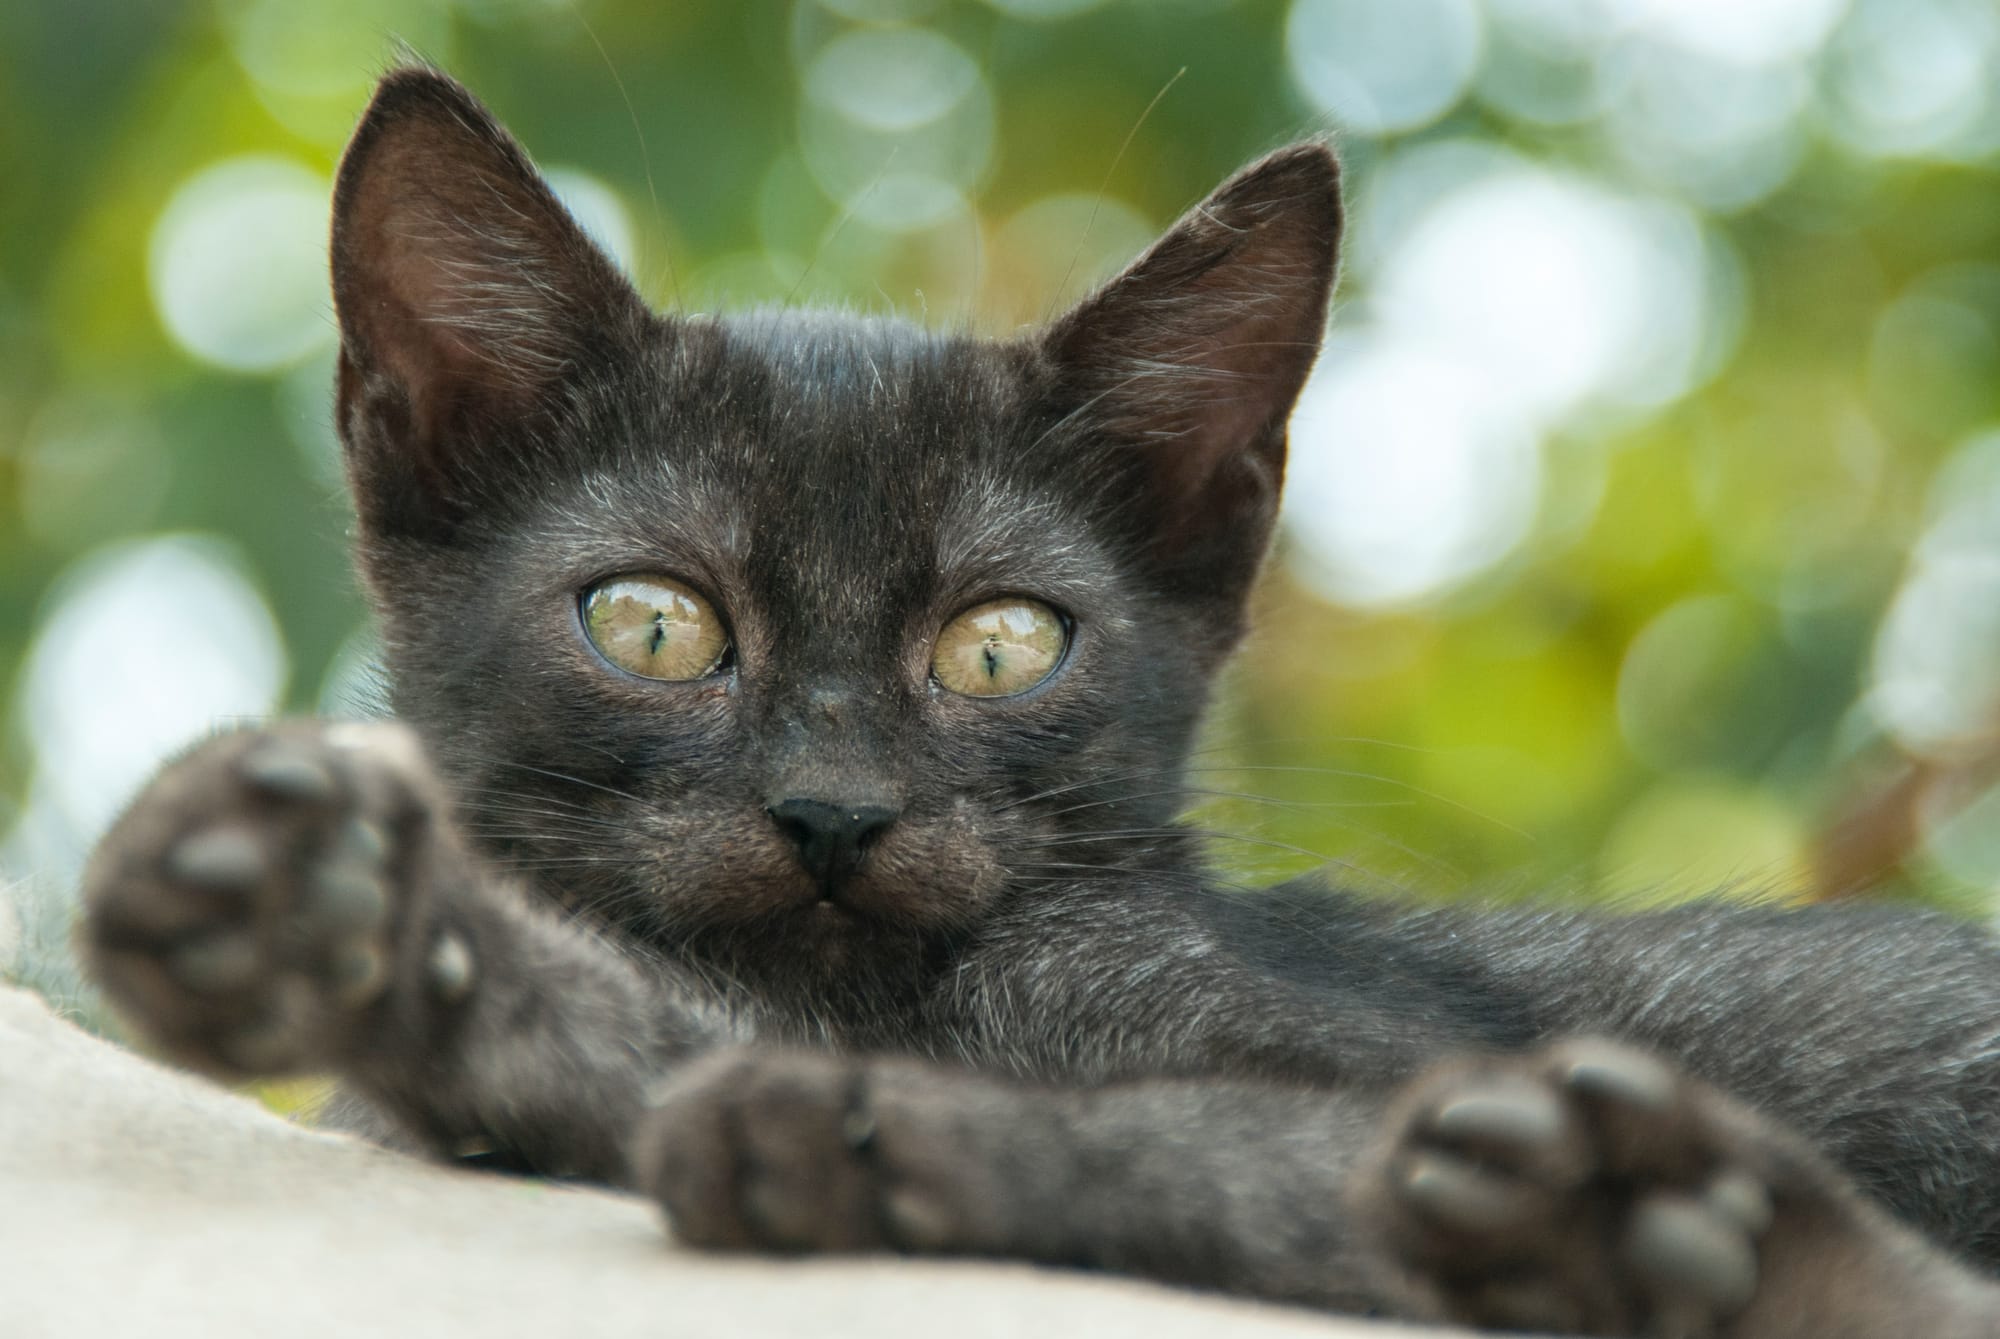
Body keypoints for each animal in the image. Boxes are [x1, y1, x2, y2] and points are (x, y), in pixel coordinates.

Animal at [82, 70, 2000, 1339]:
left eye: (1002, 645)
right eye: (652, 624)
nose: (833, 807)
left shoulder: (1372, 1064)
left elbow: (1207, 1131)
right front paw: (354, 928)